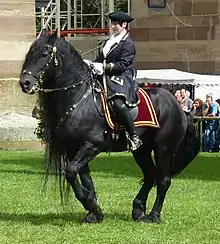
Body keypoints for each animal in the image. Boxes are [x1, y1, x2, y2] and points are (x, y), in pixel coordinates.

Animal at [19, 30, 200, 223]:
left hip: (163, 149)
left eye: (44, 54)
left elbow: (70, 172)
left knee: (163, 180)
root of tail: (179, 108)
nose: (25, 83)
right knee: (150, 175)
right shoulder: (73, 148)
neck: (79, 98)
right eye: (29, 54)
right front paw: (94, 211)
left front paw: (89, 203)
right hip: (141, 150)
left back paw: (154, 215)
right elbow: (84, 178)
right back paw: (138, 210)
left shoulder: (92, 145)